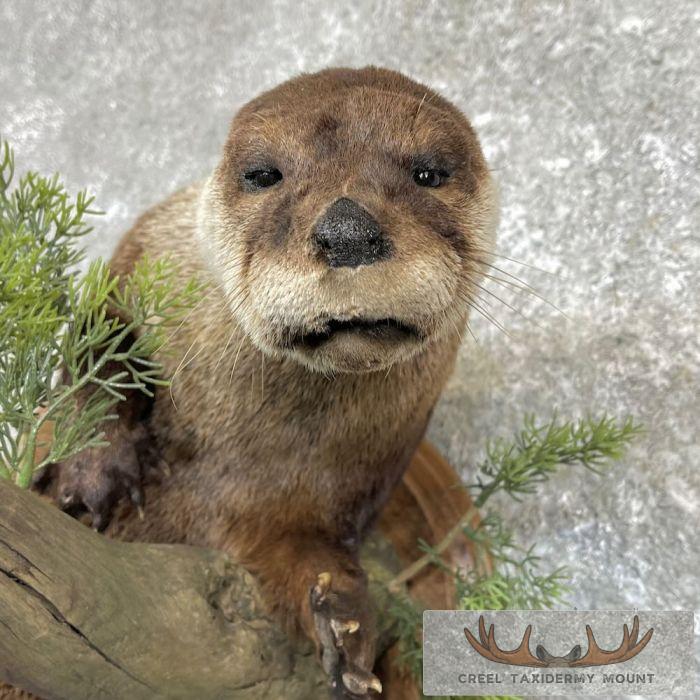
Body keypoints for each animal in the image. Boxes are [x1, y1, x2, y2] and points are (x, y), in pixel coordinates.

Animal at [50, 67, 498, 697]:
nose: (348, 229)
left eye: (428, 173)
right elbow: (100, 339)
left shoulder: (333, 491)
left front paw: (344, 622)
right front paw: (95, 473)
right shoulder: (144, 257)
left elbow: (300, 548)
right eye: (264, 174)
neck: (232, 455)